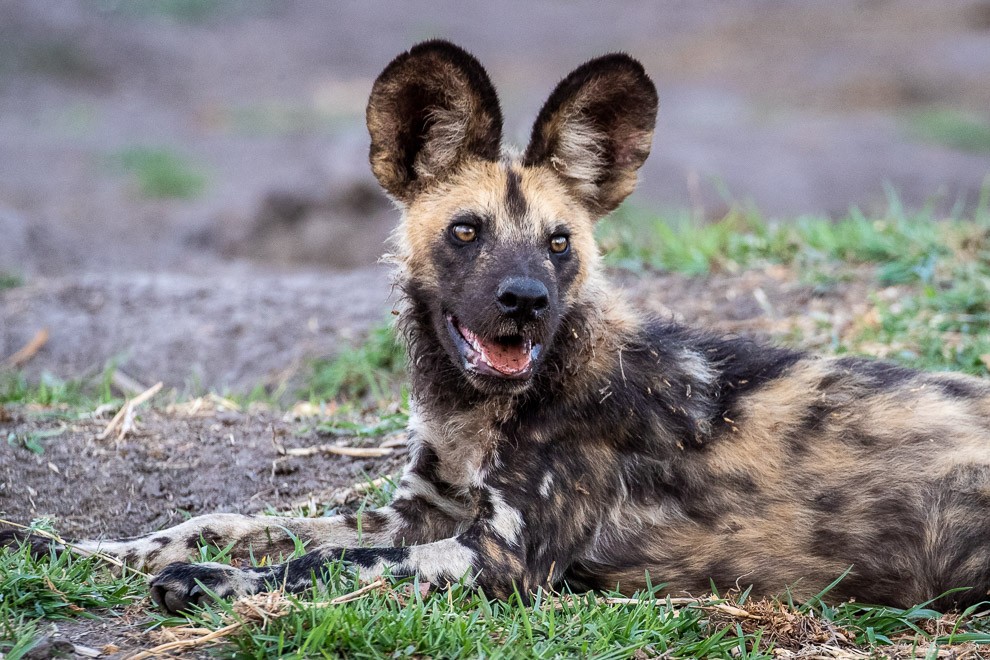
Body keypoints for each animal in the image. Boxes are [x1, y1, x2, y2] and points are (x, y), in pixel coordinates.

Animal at [5, 41, 990, 612]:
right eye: (467, 231)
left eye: (559, 243)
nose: (525, 301)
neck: (480, 415)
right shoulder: (419, 513)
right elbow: (230, 520)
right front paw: (72, 547)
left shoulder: (500, 558)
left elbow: (319, 566)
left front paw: (206, 587)